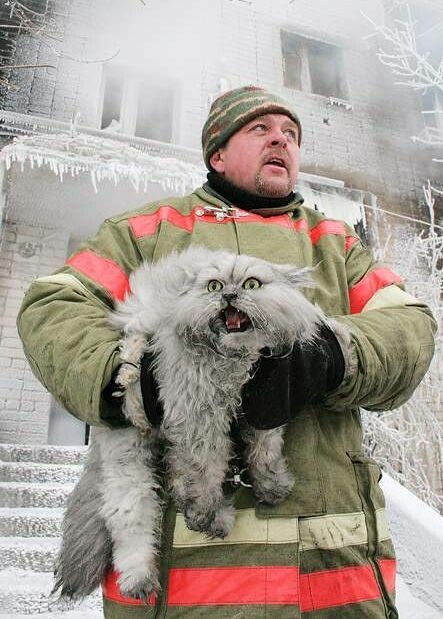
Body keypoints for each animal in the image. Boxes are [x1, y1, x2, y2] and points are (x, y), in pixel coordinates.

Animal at [53, 245, 328, 604]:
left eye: (252, 284)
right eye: (214, 286)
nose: (228, 295)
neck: (232, 362)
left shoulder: (268, 403)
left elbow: (264, 452)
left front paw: (271, 485)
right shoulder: (198, 417)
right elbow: (206, 474)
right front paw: (205, 513)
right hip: (129, 455)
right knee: (130, 516)